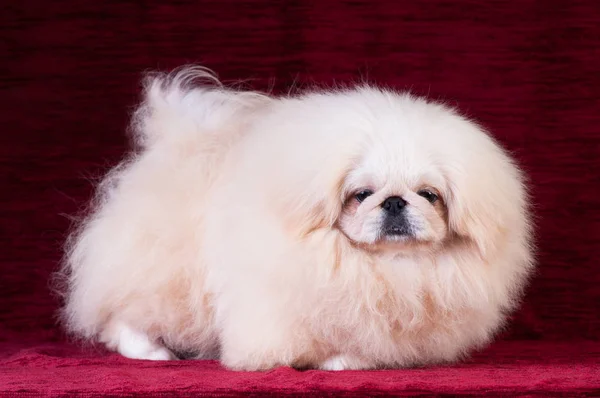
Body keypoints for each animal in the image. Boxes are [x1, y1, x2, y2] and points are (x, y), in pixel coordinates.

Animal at [59, 66, 536, 370]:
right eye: (361, 195)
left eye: (429, 195)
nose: (395, 202)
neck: (386, 268)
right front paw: (336, 362)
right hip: (162, 276)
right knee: (123, 316)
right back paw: (152, 353)